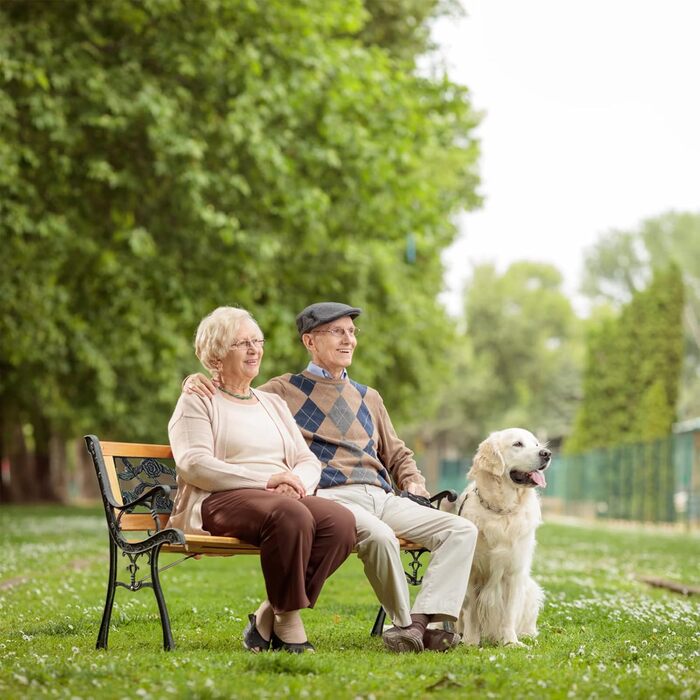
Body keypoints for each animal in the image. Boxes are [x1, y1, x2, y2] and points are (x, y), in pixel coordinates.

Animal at [448, 430, 552, 648]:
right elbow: (472, 612)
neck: (501, 511)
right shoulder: (472, 572)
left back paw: (526, 635)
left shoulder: (513, 573)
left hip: (531, 589)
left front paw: (510, 642)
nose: (546, 453)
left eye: (536, 444)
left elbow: (509, 613)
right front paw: (471, 641)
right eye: (517, 444)